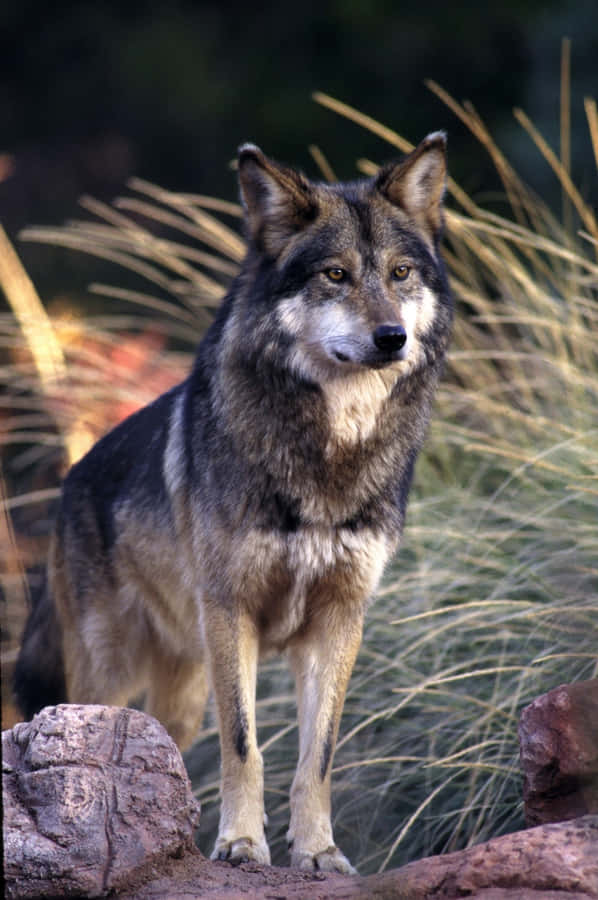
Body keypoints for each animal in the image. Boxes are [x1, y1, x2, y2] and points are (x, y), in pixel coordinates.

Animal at [14, 133, 453, 873]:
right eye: (335, 275)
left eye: (399, 274)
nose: (392, 337)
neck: (327, 455)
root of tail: (74, 477)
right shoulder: (231, 610)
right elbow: (245, 746)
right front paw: (243, 845)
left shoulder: (340, 618)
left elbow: (317, 757)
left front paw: (318, 852)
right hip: (108, 675)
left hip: (183, 694)